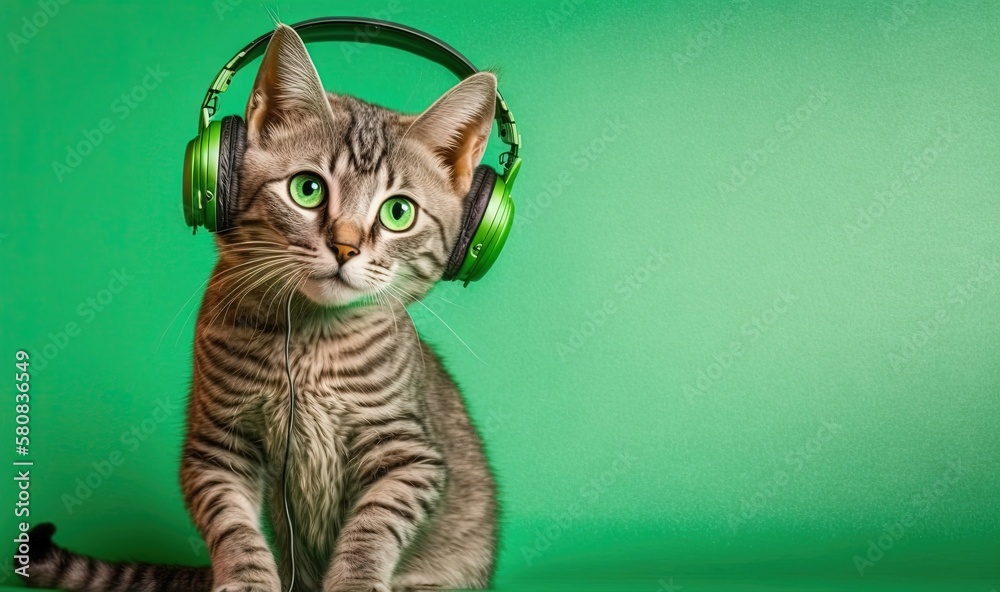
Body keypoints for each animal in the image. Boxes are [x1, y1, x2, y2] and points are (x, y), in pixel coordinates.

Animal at [21, 23, 508, 592]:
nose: (346, 246)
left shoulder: (409, 455)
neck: (309, 344)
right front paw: (247, 577)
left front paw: (356, 578)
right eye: (308, 189)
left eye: (398, 213)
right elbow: (232, 525)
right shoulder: (217, 443)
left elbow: (373, 528)